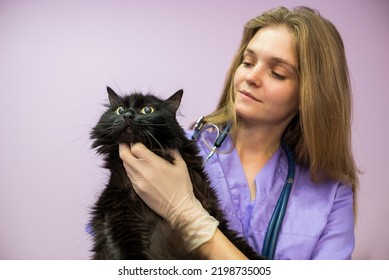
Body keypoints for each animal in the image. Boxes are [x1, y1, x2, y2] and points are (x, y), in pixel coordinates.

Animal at [89, 86, 262, 260]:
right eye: (120, 110)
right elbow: (125, 251)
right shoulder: (118, 213)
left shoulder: (209, 206)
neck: (156, 152)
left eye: (147, 110)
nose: (128, 115)